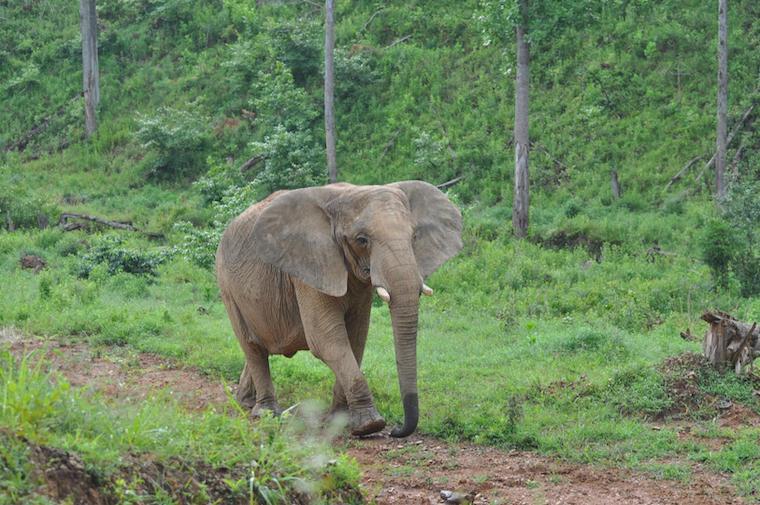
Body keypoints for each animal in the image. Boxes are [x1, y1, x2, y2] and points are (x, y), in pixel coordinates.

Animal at [215, 181, 462, 437]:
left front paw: (341, 420)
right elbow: (327, 341)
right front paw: (369, 425)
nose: (396, 430)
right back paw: (265, 414)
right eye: (362, 240)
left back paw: (244, 402)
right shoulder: (311, 265)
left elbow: (356, 339)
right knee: (252, 347)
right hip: (226, 285)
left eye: (414, 236)